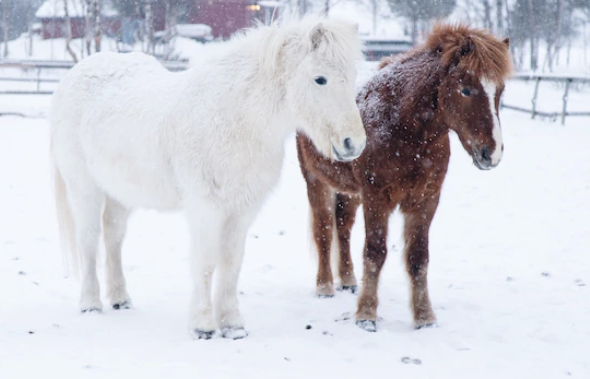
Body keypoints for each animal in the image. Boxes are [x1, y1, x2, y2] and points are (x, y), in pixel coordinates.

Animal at [51, 16, 368, 340]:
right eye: (320, 79)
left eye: (353, 75)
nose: (353, 144)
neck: (236, 119)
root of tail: (74, 76)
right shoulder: (206, 208)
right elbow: (205, 263)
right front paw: (203, 326)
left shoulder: (242, 211)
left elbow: (231, 264)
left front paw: (232, 324)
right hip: (84, 189)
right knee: (89, 240)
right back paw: (90, 303)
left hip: (120, 194)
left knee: (113, 237)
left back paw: (120, 299)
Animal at [298, 23, 516, 332]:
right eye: (466, 89)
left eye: (501, 90)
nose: (492, 153)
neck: (403, 127)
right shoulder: (377, 199)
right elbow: (375, 253)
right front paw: (366, 314)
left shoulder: (425, 200)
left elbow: (418, 257)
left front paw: (424, 316)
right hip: (315, 181)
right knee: (325, 230)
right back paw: (325, 286)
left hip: (350, 192)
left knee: (343, 227)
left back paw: (348, 279)